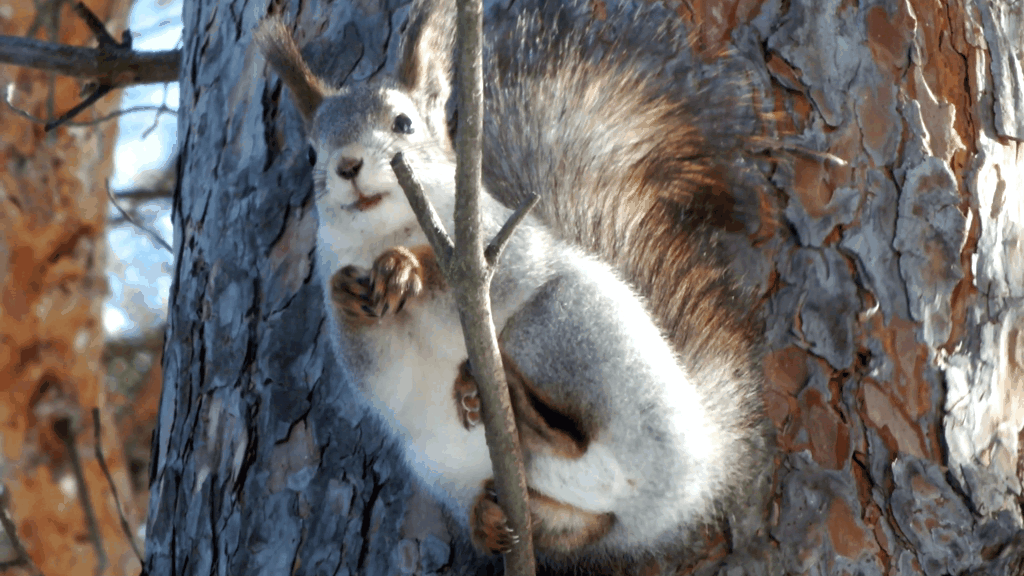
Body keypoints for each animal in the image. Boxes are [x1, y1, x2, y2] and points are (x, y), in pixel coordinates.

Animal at [258, 0, 774, 565]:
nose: (347, 165)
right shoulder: (370, 348)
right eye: (311, 154)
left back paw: (520, 412)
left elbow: (483, 273)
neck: (382, 233)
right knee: (591, 520)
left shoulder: (504, 244)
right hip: (439, 457)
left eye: (403, 122)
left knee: (587, 448)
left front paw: (406, 267)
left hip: (569, 330)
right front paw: (346, 295)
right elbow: (370, 362)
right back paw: (499, 517)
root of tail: (699, 473)